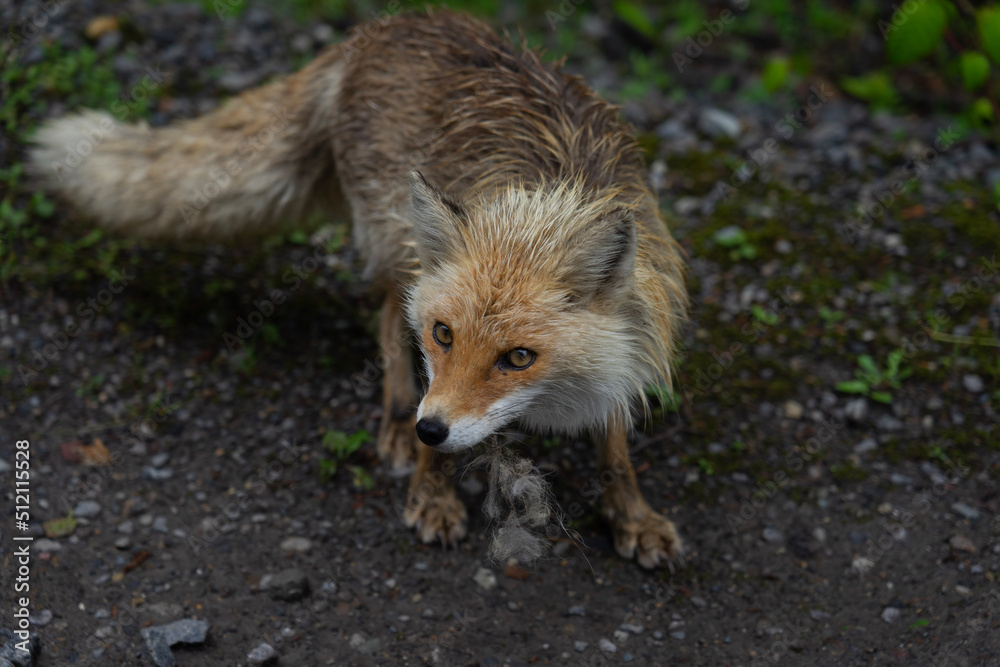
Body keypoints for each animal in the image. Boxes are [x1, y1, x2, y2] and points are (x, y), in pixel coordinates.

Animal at [28, 9, 688, 568]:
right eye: (443, 335)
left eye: (518, 358)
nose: (430, 430)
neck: (543, 201)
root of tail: (383, 30)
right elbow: (418, 374)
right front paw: (430, 492)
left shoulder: (633, 336)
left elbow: (615, 444)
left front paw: (632, 516)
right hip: (396, 237)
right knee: (385, 322)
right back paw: (394, 424)